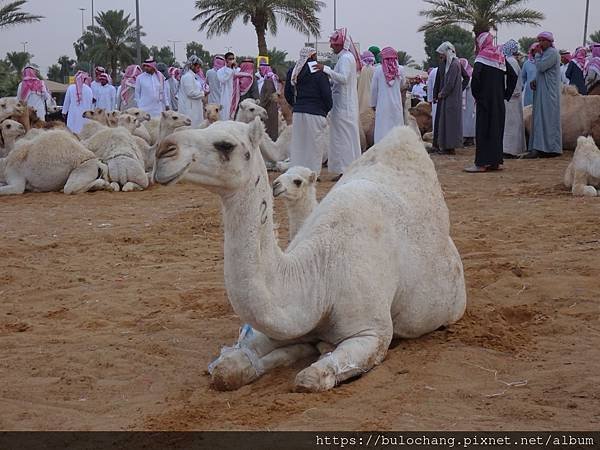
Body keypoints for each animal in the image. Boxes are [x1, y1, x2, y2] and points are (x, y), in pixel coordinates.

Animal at [152, 118, 466, 390]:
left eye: (225, 145)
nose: (163, 150)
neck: (320, 274)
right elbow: (225, 370)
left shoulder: (372, 332)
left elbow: (310, 378)